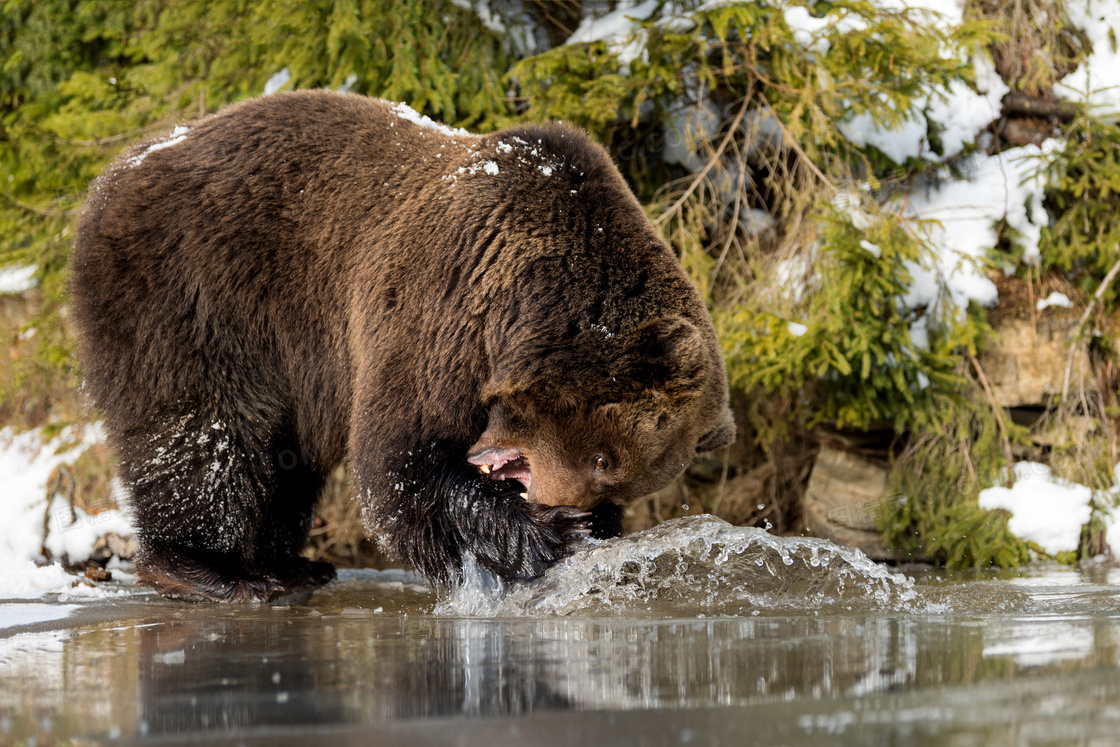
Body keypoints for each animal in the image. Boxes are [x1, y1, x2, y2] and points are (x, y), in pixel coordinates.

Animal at [70, 90, 734, 600]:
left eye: (616, 479)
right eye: (603, 459)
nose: (564, 505)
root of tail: (115, 173)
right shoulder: (437, 310)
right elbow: (400, 460)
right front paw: (544, 535)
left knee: (285, 454)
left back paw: (290, 563)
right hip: (198, 291)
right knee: (203, 431)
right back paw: (211, 570)